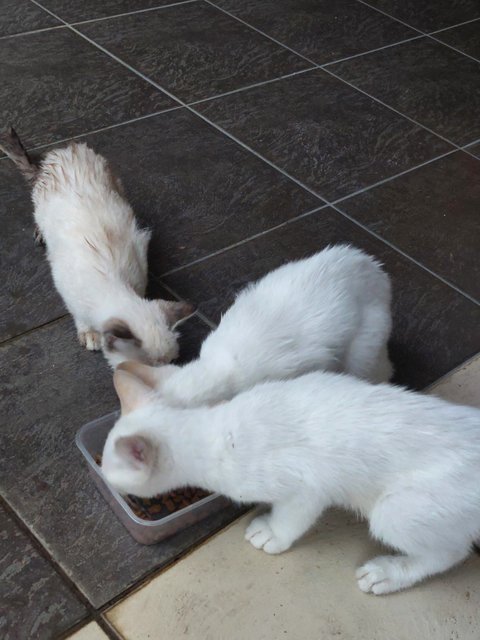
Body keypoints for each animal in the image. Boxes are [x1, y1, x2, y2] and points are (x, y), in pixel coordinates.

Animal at [1, 127, 195, 368]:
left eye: (171, 362)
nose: (166, 376)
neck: (111, 281)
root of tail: (66, 148)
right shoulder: (68, 292)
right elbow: (81, 318)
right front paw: (90, 334)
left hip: (115, 183)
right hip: (40, 206)